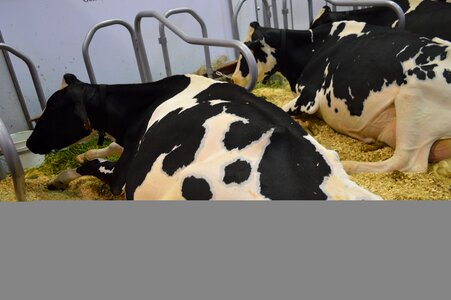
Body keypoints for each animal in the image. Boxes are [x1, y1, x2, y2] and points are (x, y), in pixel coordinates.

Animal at [231, 21, 451, 175]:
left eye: (248, 52)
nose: (233, 80)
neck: (314, 46)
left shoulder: (308, 97)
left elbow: (278, 109)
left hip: (412, 96)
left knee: (406, 160)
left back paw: (346, 165)